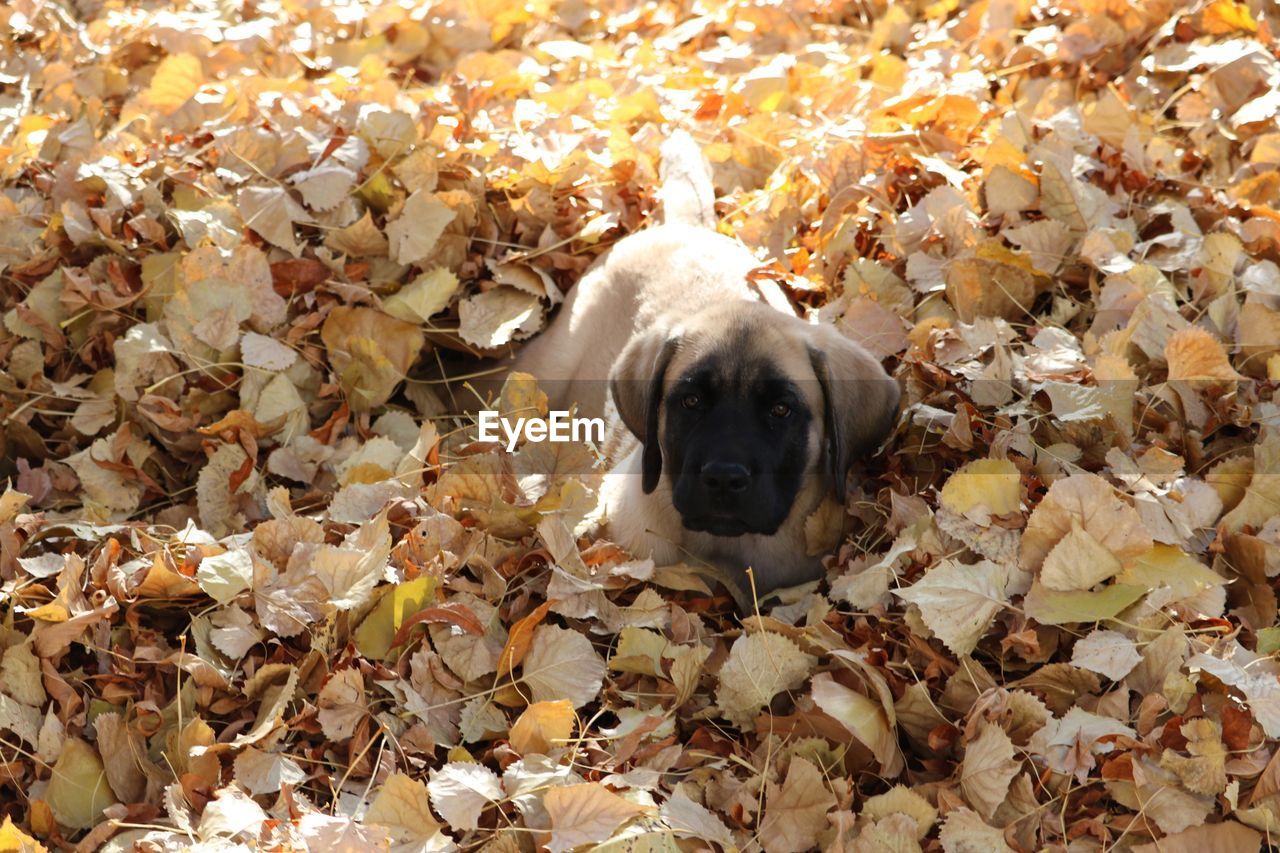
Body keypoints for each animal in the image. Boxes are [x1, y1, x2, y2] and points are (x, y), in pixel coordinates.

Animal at [504, 129, 896, 601]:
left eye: (781, 409)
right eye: (690, 402)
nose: (724, 478)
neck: (726, 550)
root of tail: (687, 227)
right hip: (547, 365)